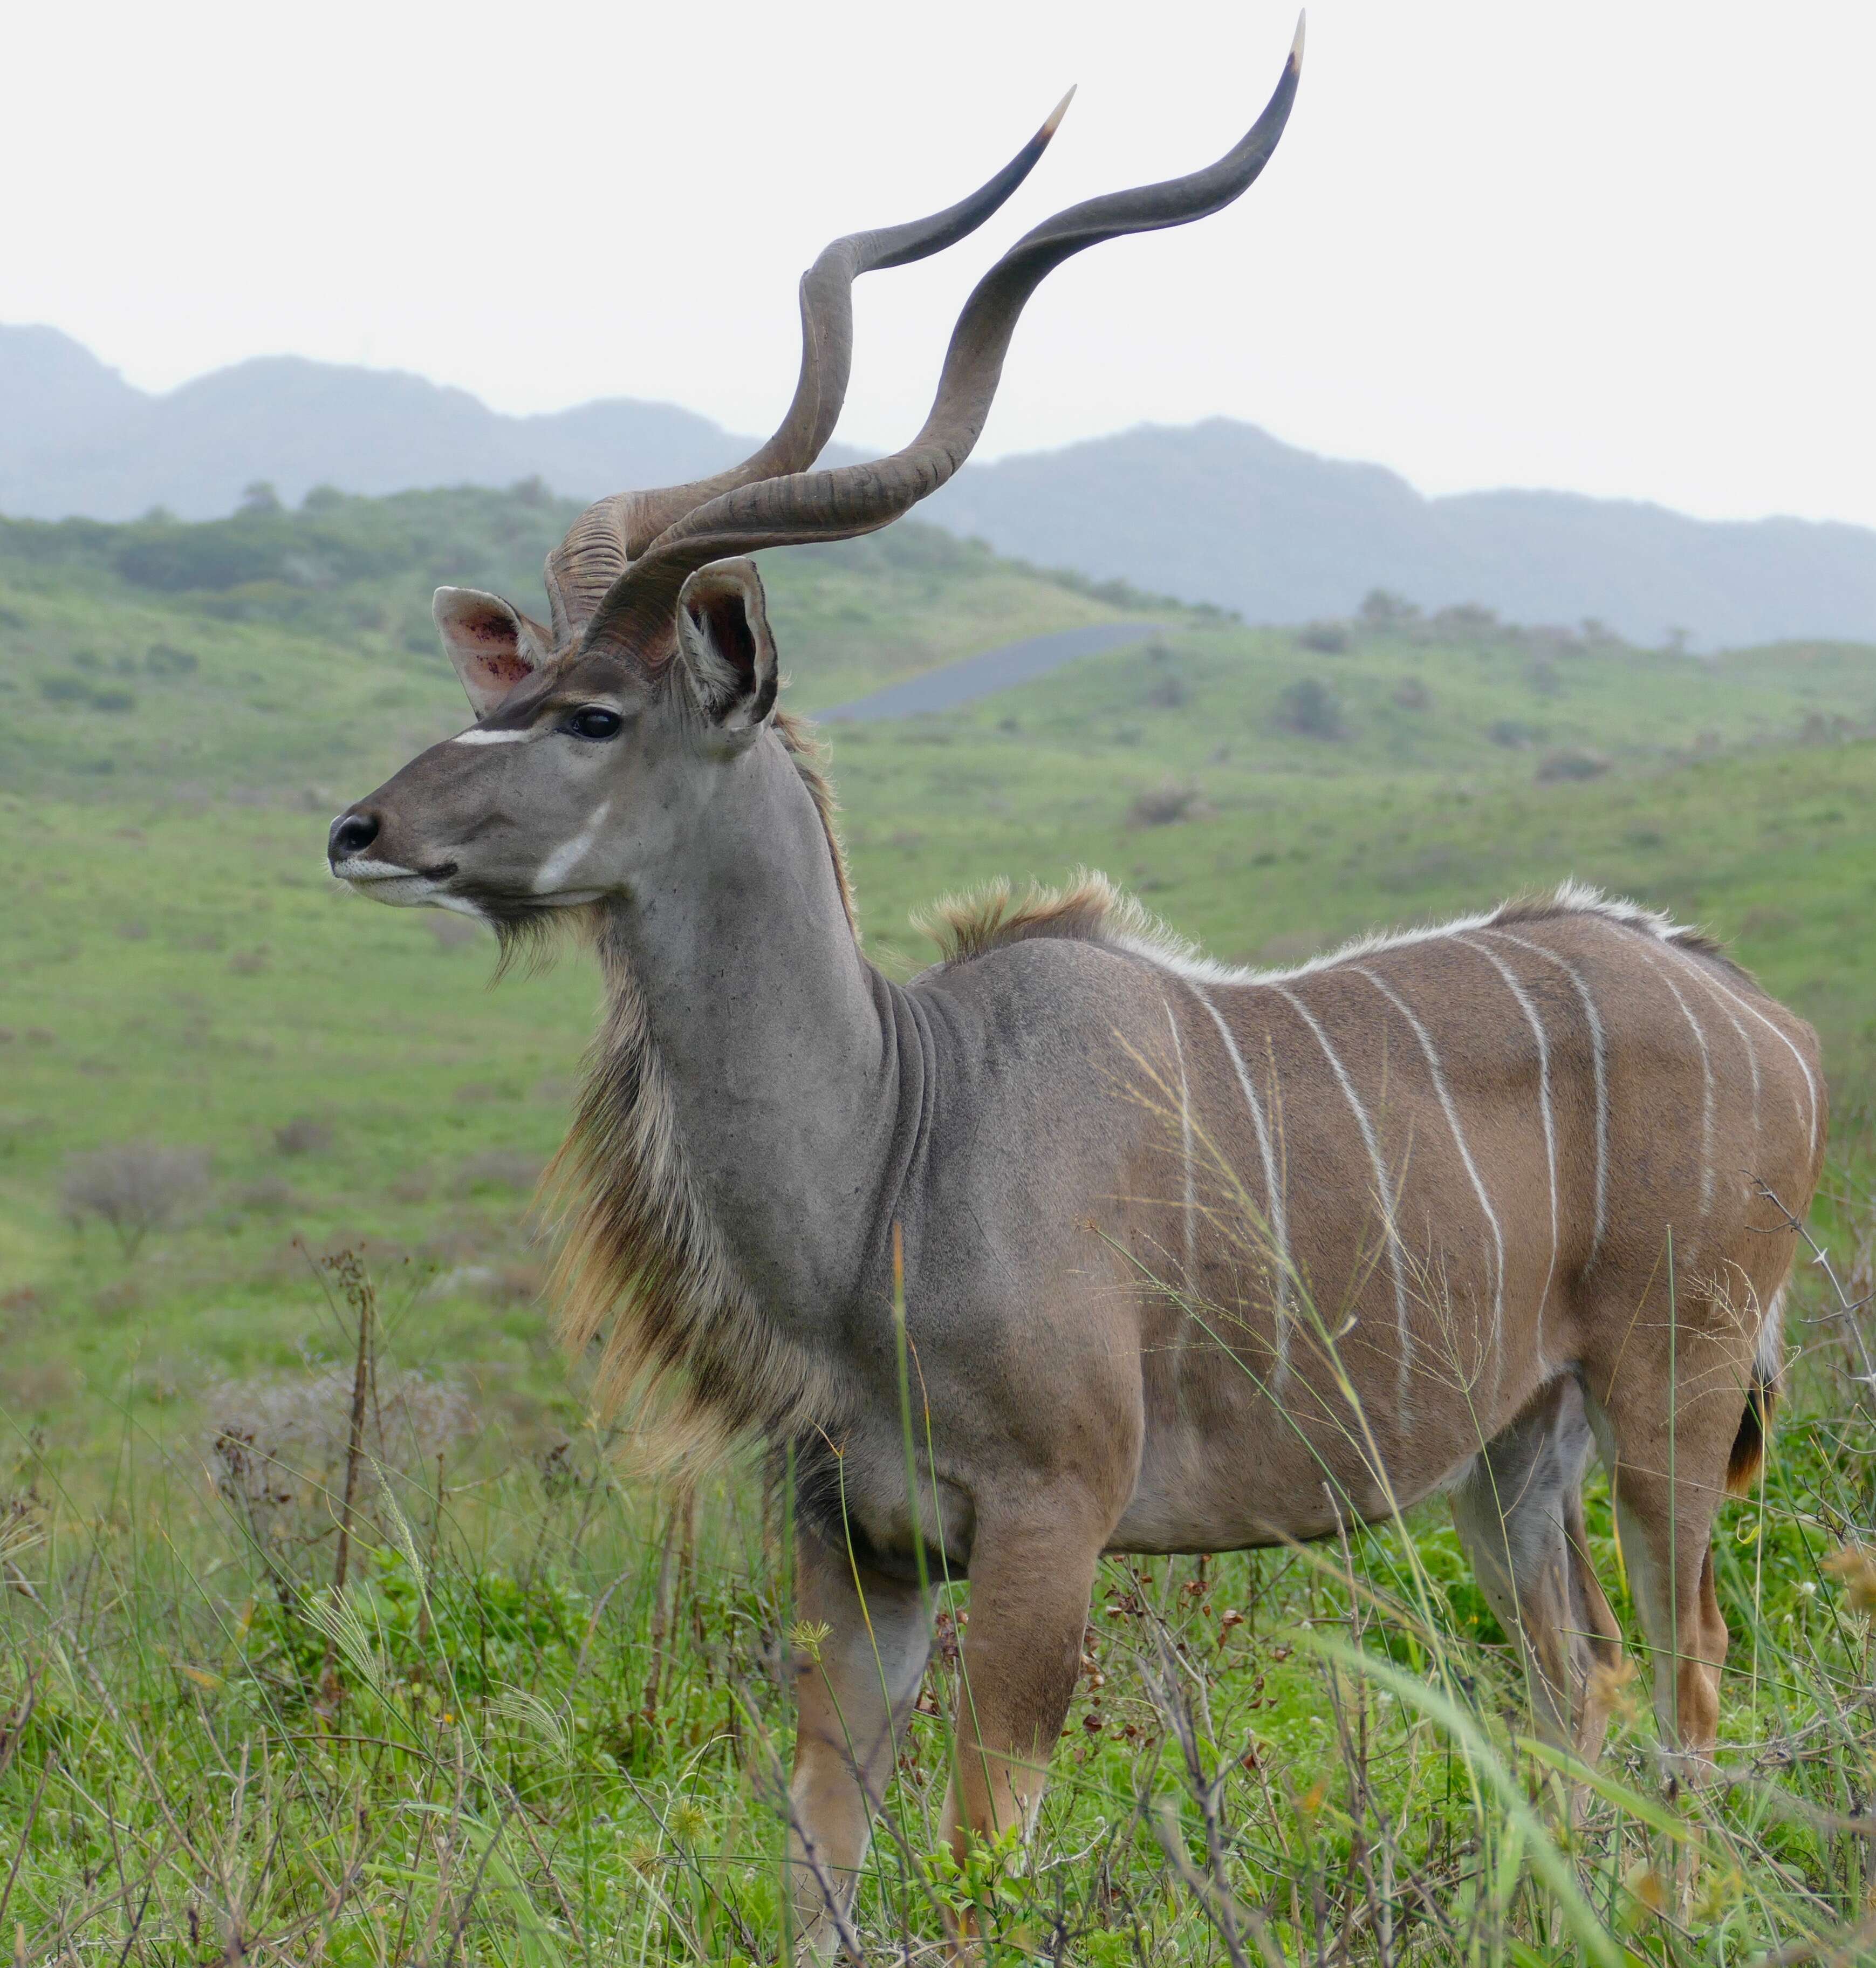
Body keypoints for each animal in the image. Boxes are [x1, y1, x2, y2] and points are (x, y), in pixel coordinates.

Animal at [328, 31, 1819, 1952]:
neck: (896, 1143)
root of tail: (1754, 1011)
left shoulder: (1050, 1529)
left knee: (1688, 1663)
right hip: (1510, 1456)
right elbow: (820, 1856)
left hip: (1669, 1401)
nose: (360, 829)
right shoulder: (855, 1551)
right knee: (1586, 1680)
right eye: (510, 689)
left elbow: (979, 1857)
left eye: (593, 714)